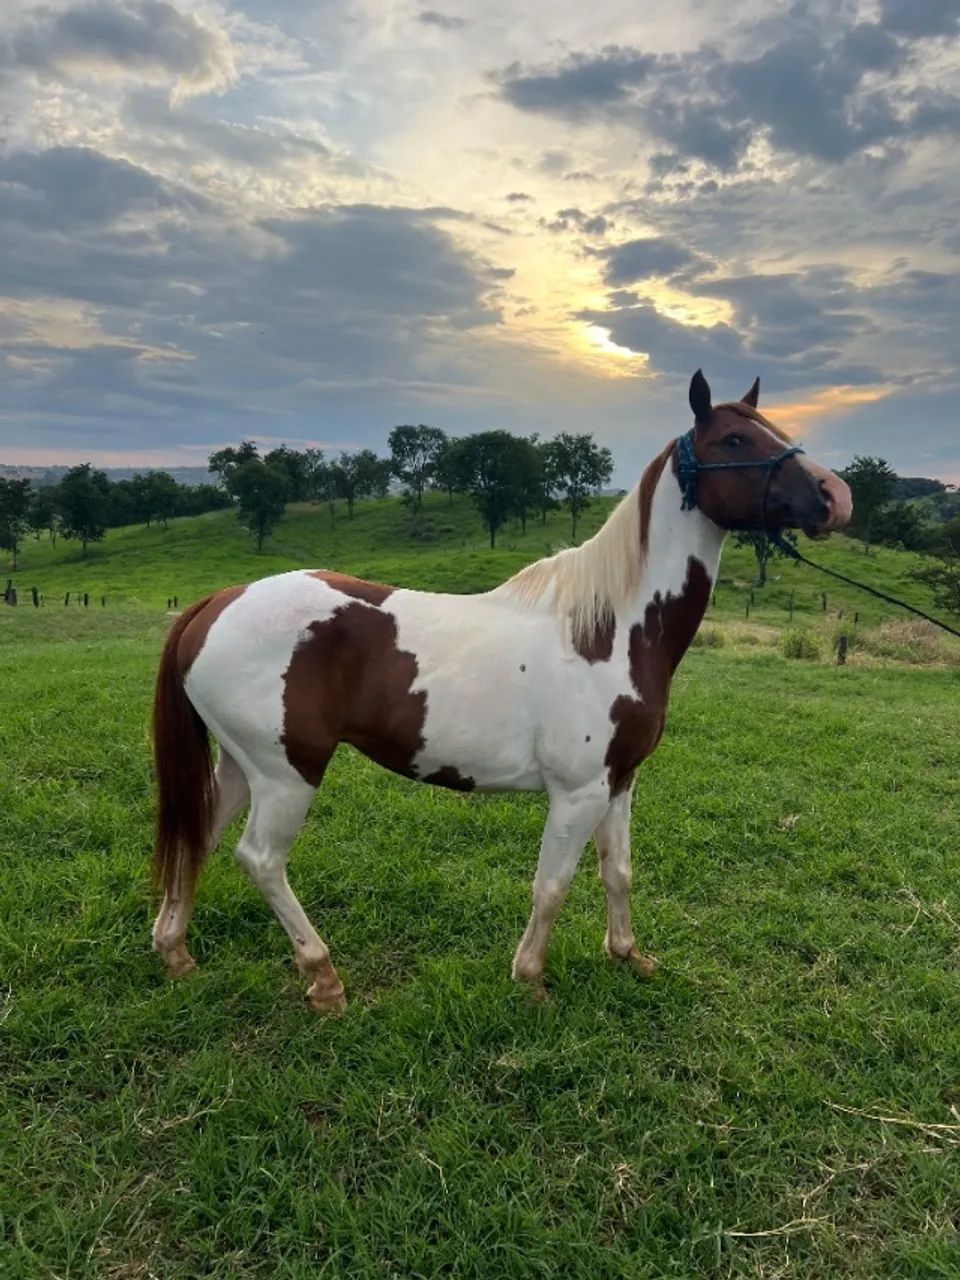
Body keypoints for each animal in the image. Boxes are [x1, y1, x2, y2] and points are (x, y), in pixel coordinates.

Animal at [151, 370, 852, 1011]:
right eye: (735, 439)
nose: (836, 495)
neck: (609, 631)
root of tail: (216, 602)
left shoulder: (620, 780)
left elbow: (618, 871)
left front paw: (628, 955)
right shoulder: (577, 792)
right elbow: (553, 885)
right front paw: (531, 978)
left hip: (241, 765)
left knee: (199, 837)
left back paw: (175, 953)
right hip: (287, 773)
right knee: (260, 859)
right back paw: (323, 978)